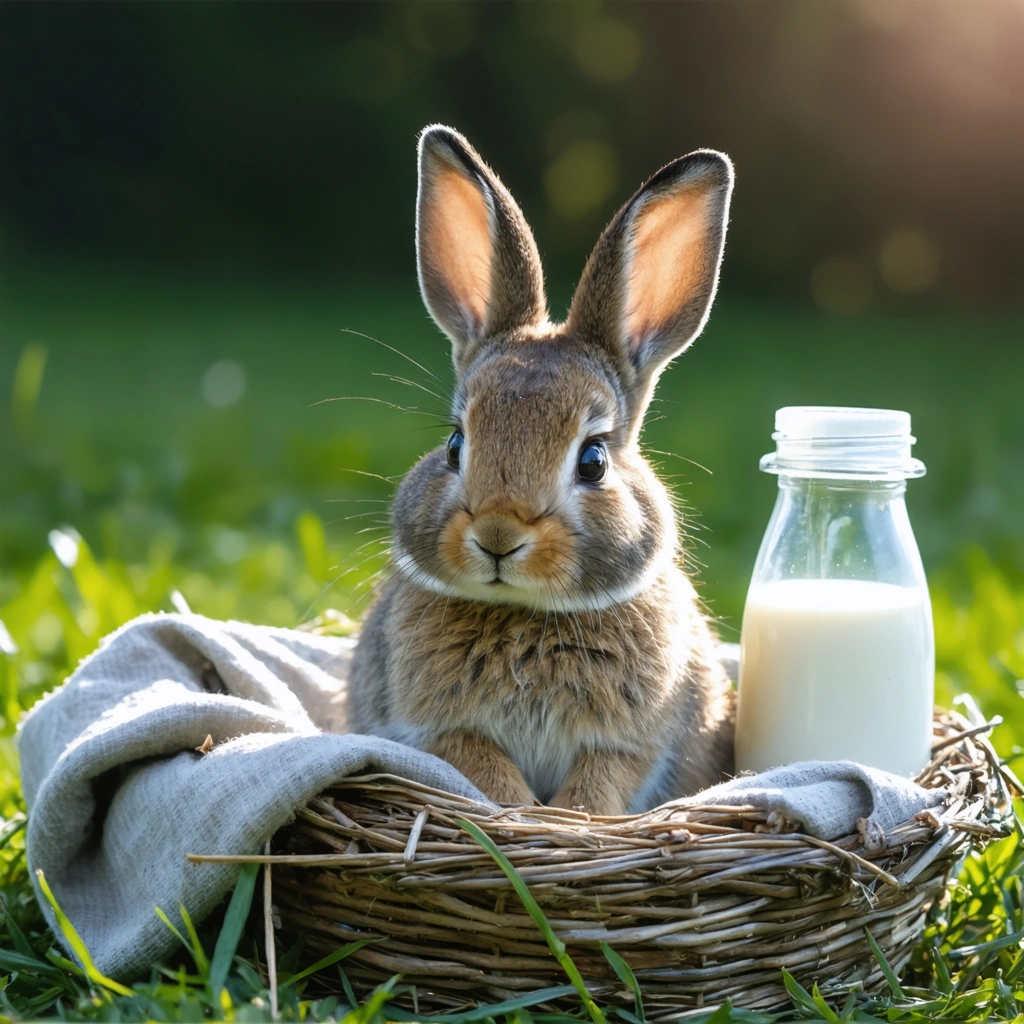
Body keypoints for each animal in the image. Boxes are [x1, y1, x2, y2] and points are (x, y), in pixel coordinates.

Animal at [350, 125, 737, 815]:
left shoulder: (632, 744)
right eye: (455, 445)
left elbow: (603, 778)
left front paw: (576, 818)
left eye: (593, 459)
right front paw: (523, 813)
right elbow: (484, 768)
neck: (526, 613)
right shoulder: (443, 731)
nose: (498, 536)